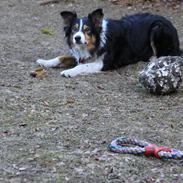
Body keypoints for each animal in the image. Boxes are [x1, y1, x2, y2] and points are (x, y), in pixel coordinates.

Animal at [36, 8, 182, 77]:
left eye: (87, 30)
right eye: (74, 29)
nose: (77, 38)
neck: (96, 42)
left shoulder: (103, 63)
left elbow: (82, 66)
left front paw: (69, 72)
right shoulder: (83, 55)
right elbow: (61, 57)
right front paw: (44, 62)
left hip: (157, 28)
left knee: (166, 54)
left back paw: (152, 60)